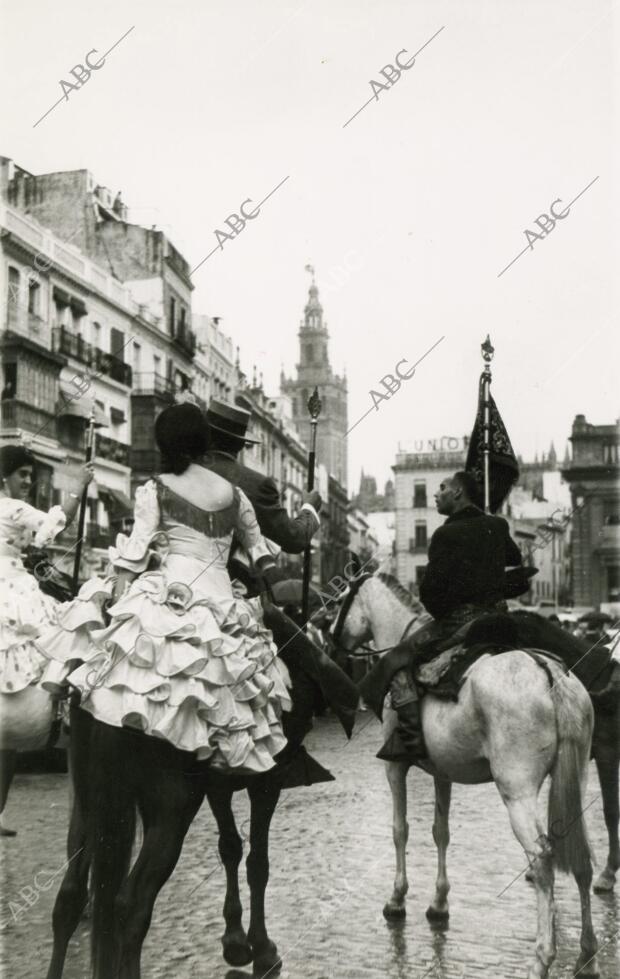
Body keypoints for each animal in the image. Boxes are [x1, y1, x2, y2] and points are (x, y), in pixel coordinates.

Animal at [45, 700, 310, 976]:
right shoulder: (268, 775)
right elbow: (257, 864)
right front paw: (262, 949)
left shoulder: (218, 779)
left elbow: (230, 848)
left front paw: (235, 940)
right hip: (172, 812)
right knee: (132, 906)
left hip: (91, 804)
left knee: (70, 896)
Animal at [332, 576, 600, 979]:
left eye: (338, 601)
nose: (330, 641)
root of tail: (548, 673)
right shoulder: (442, 772)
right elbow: (440, 832)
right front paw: (439, 903)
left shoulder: (395, 767)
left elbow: (400, 830)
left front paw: (397, 898)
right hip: (576, 779)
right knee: (581, 855)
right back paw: (587, 953)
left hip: (516, 790)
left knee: (542, 860)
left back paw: (542, 957)